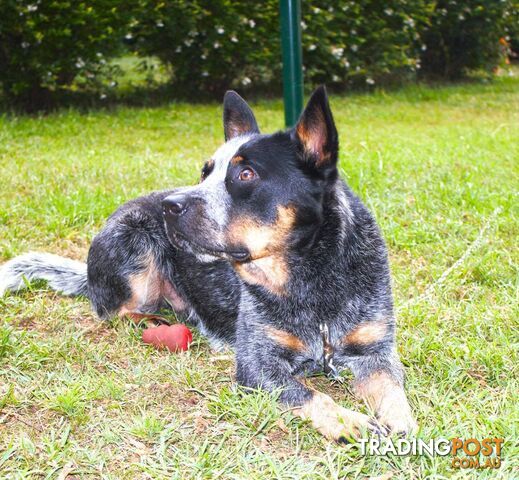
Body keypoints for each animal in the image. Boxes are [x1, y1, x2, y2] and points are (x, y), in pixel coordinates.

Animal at [0, 87, 414, 442]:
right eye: (205, 172)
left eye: (245, 174)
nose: (170, 206)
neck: (314, 281)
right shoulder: (257, 364)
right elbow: (310, 394)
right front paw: (349, 421)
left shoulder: (376, 351)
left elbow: (393, 390)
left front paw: (401, 423)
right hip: (135, 245)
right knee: (114, 311)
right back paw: (156, 321)